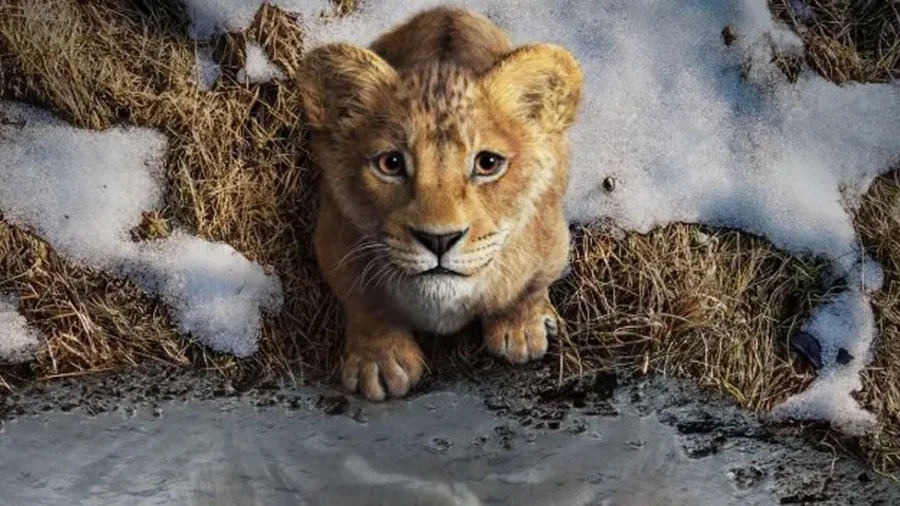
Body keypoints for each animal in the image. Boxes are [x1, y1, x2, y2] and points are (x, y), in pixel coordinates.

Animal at [299, 7, 583, 401]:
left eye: (487, 163)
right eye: (391, 163)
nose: (439, 240)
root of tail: (449, 10)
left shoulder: (552, 239)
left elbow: (529, 287)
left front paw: (522, 330)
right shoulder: (334, 237)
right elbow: (364, 302)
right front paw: (380, 362)